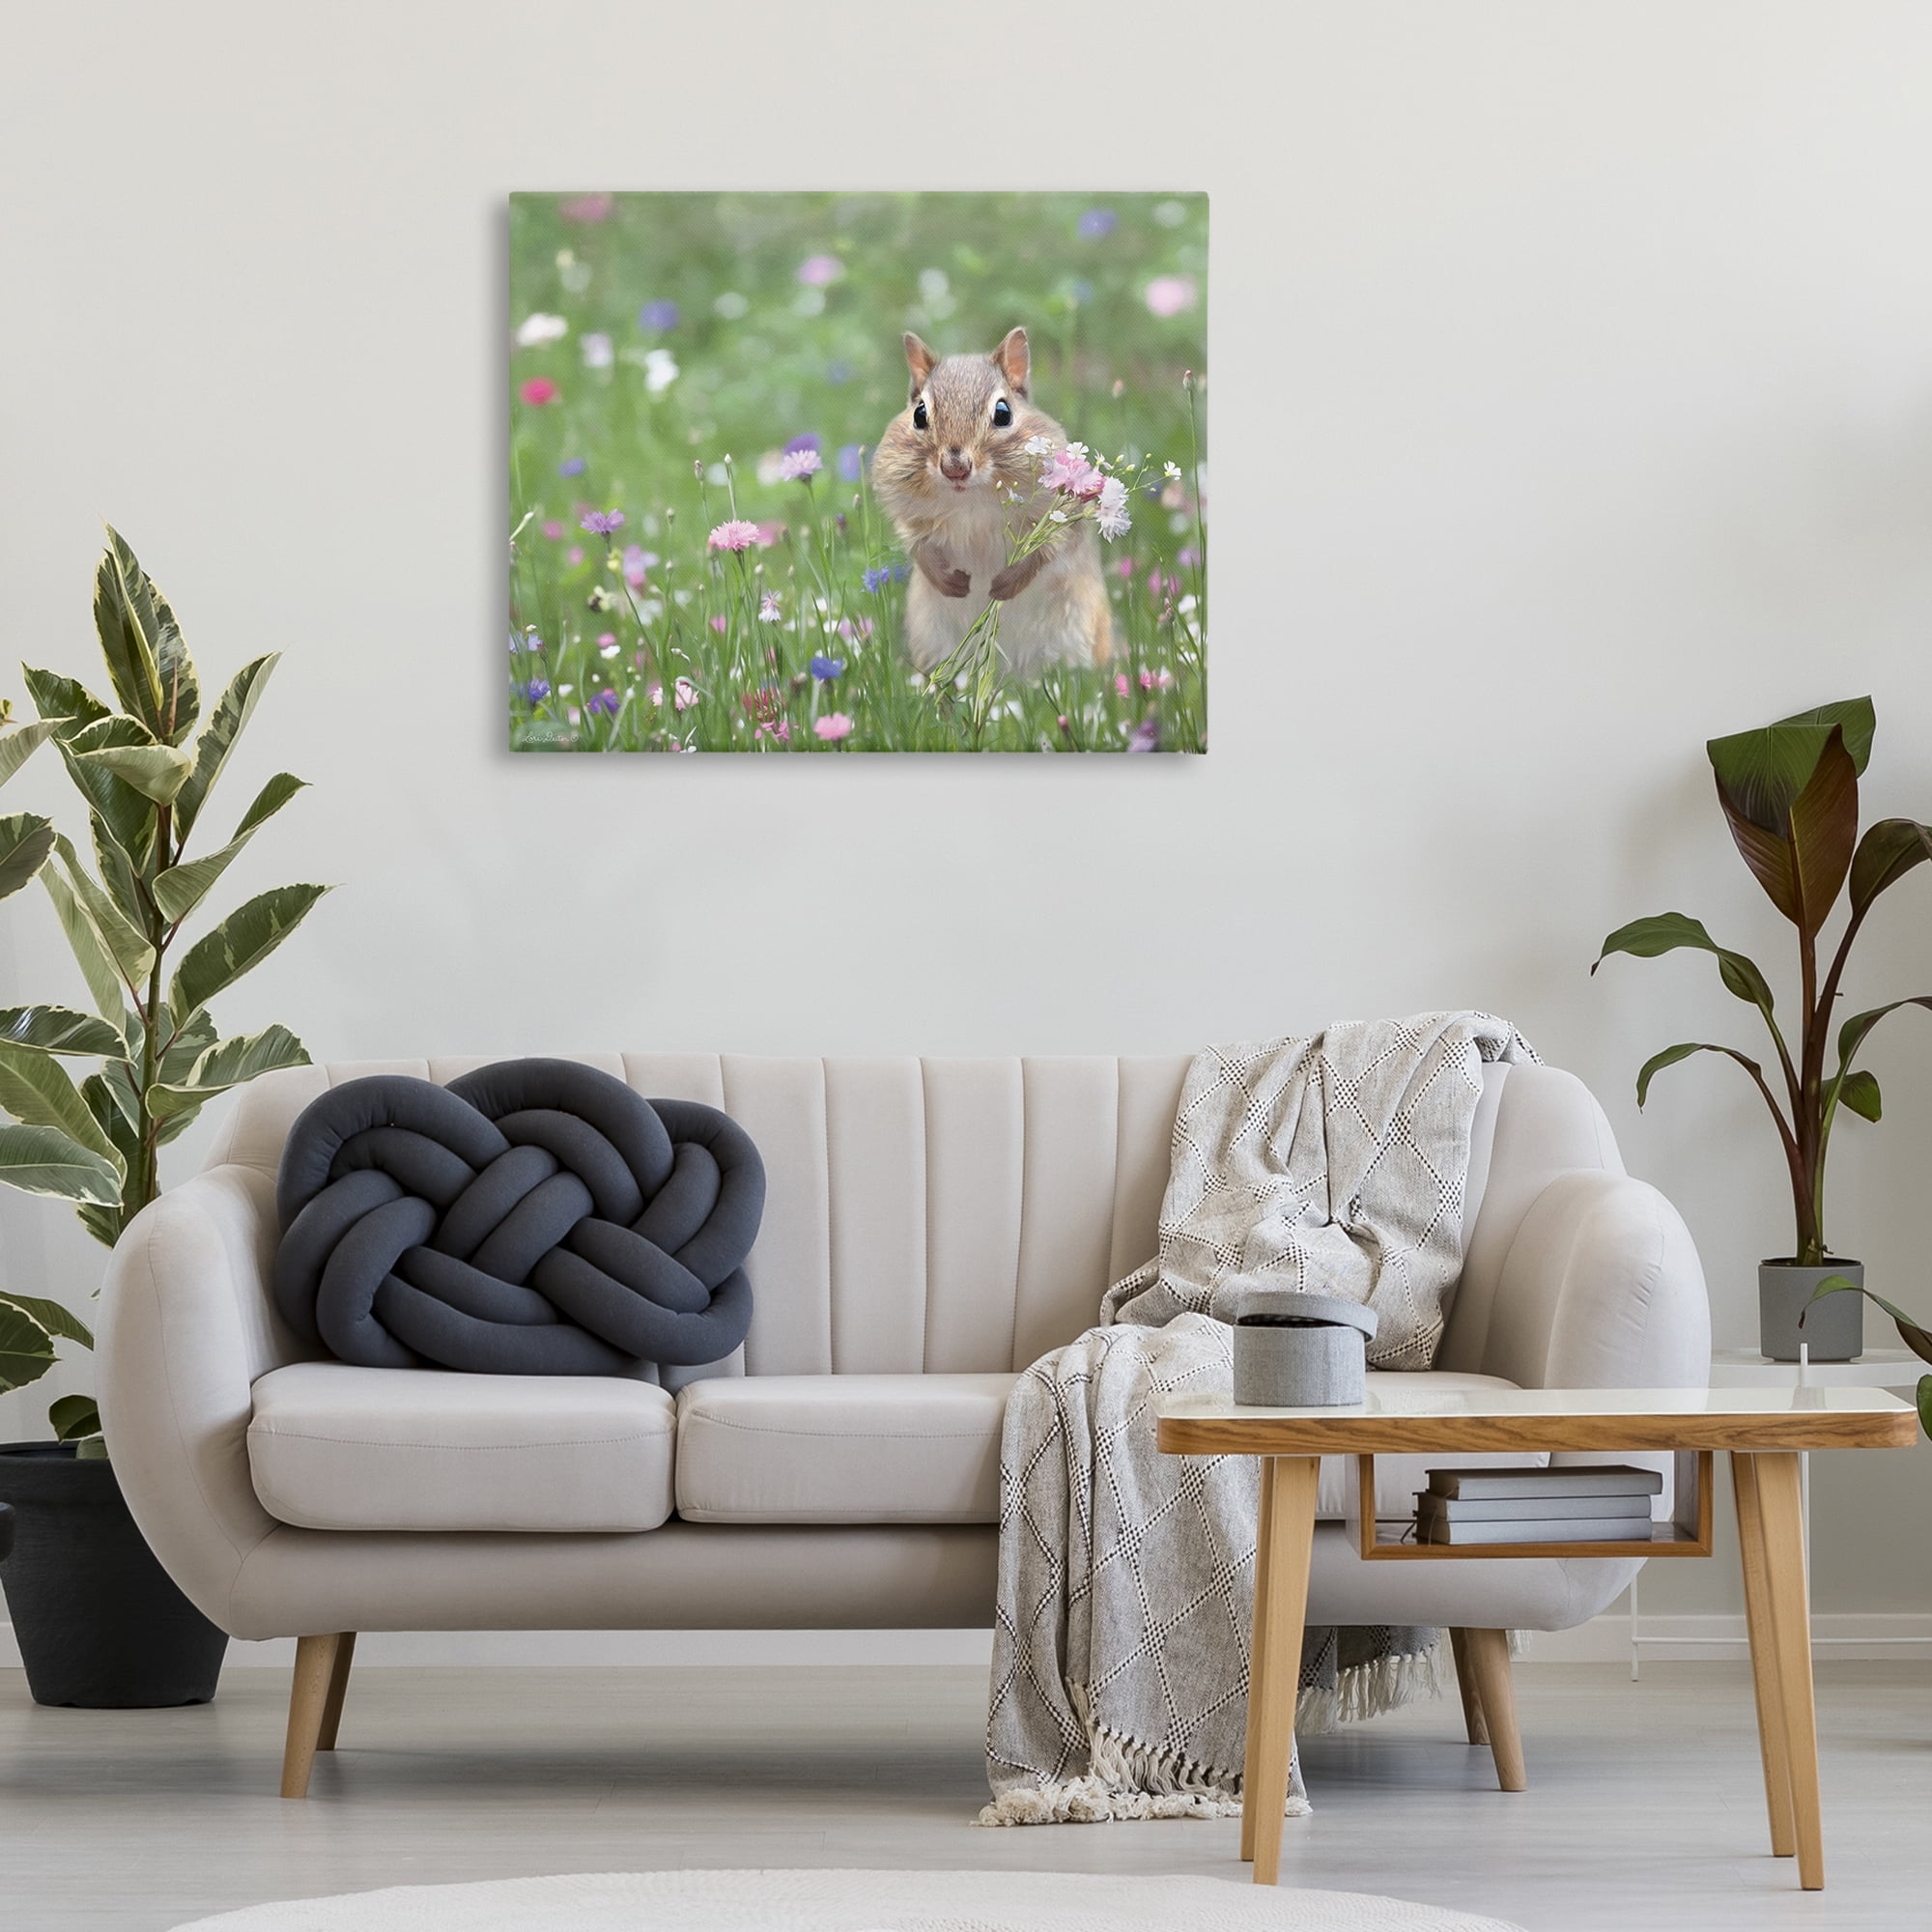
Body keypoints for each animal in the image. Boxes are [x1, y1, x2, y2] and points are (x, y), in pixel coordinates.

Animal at [870, 327, 1113, 677]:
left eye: (1003, 413)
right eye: (919, 414)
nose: (955, 468)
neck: (970, 499)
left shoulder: (1059, 517)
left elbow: (1047, 550)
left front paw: (1004, 586)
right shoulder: (909, 515)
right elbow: (918, 546)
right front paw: (950, 582)